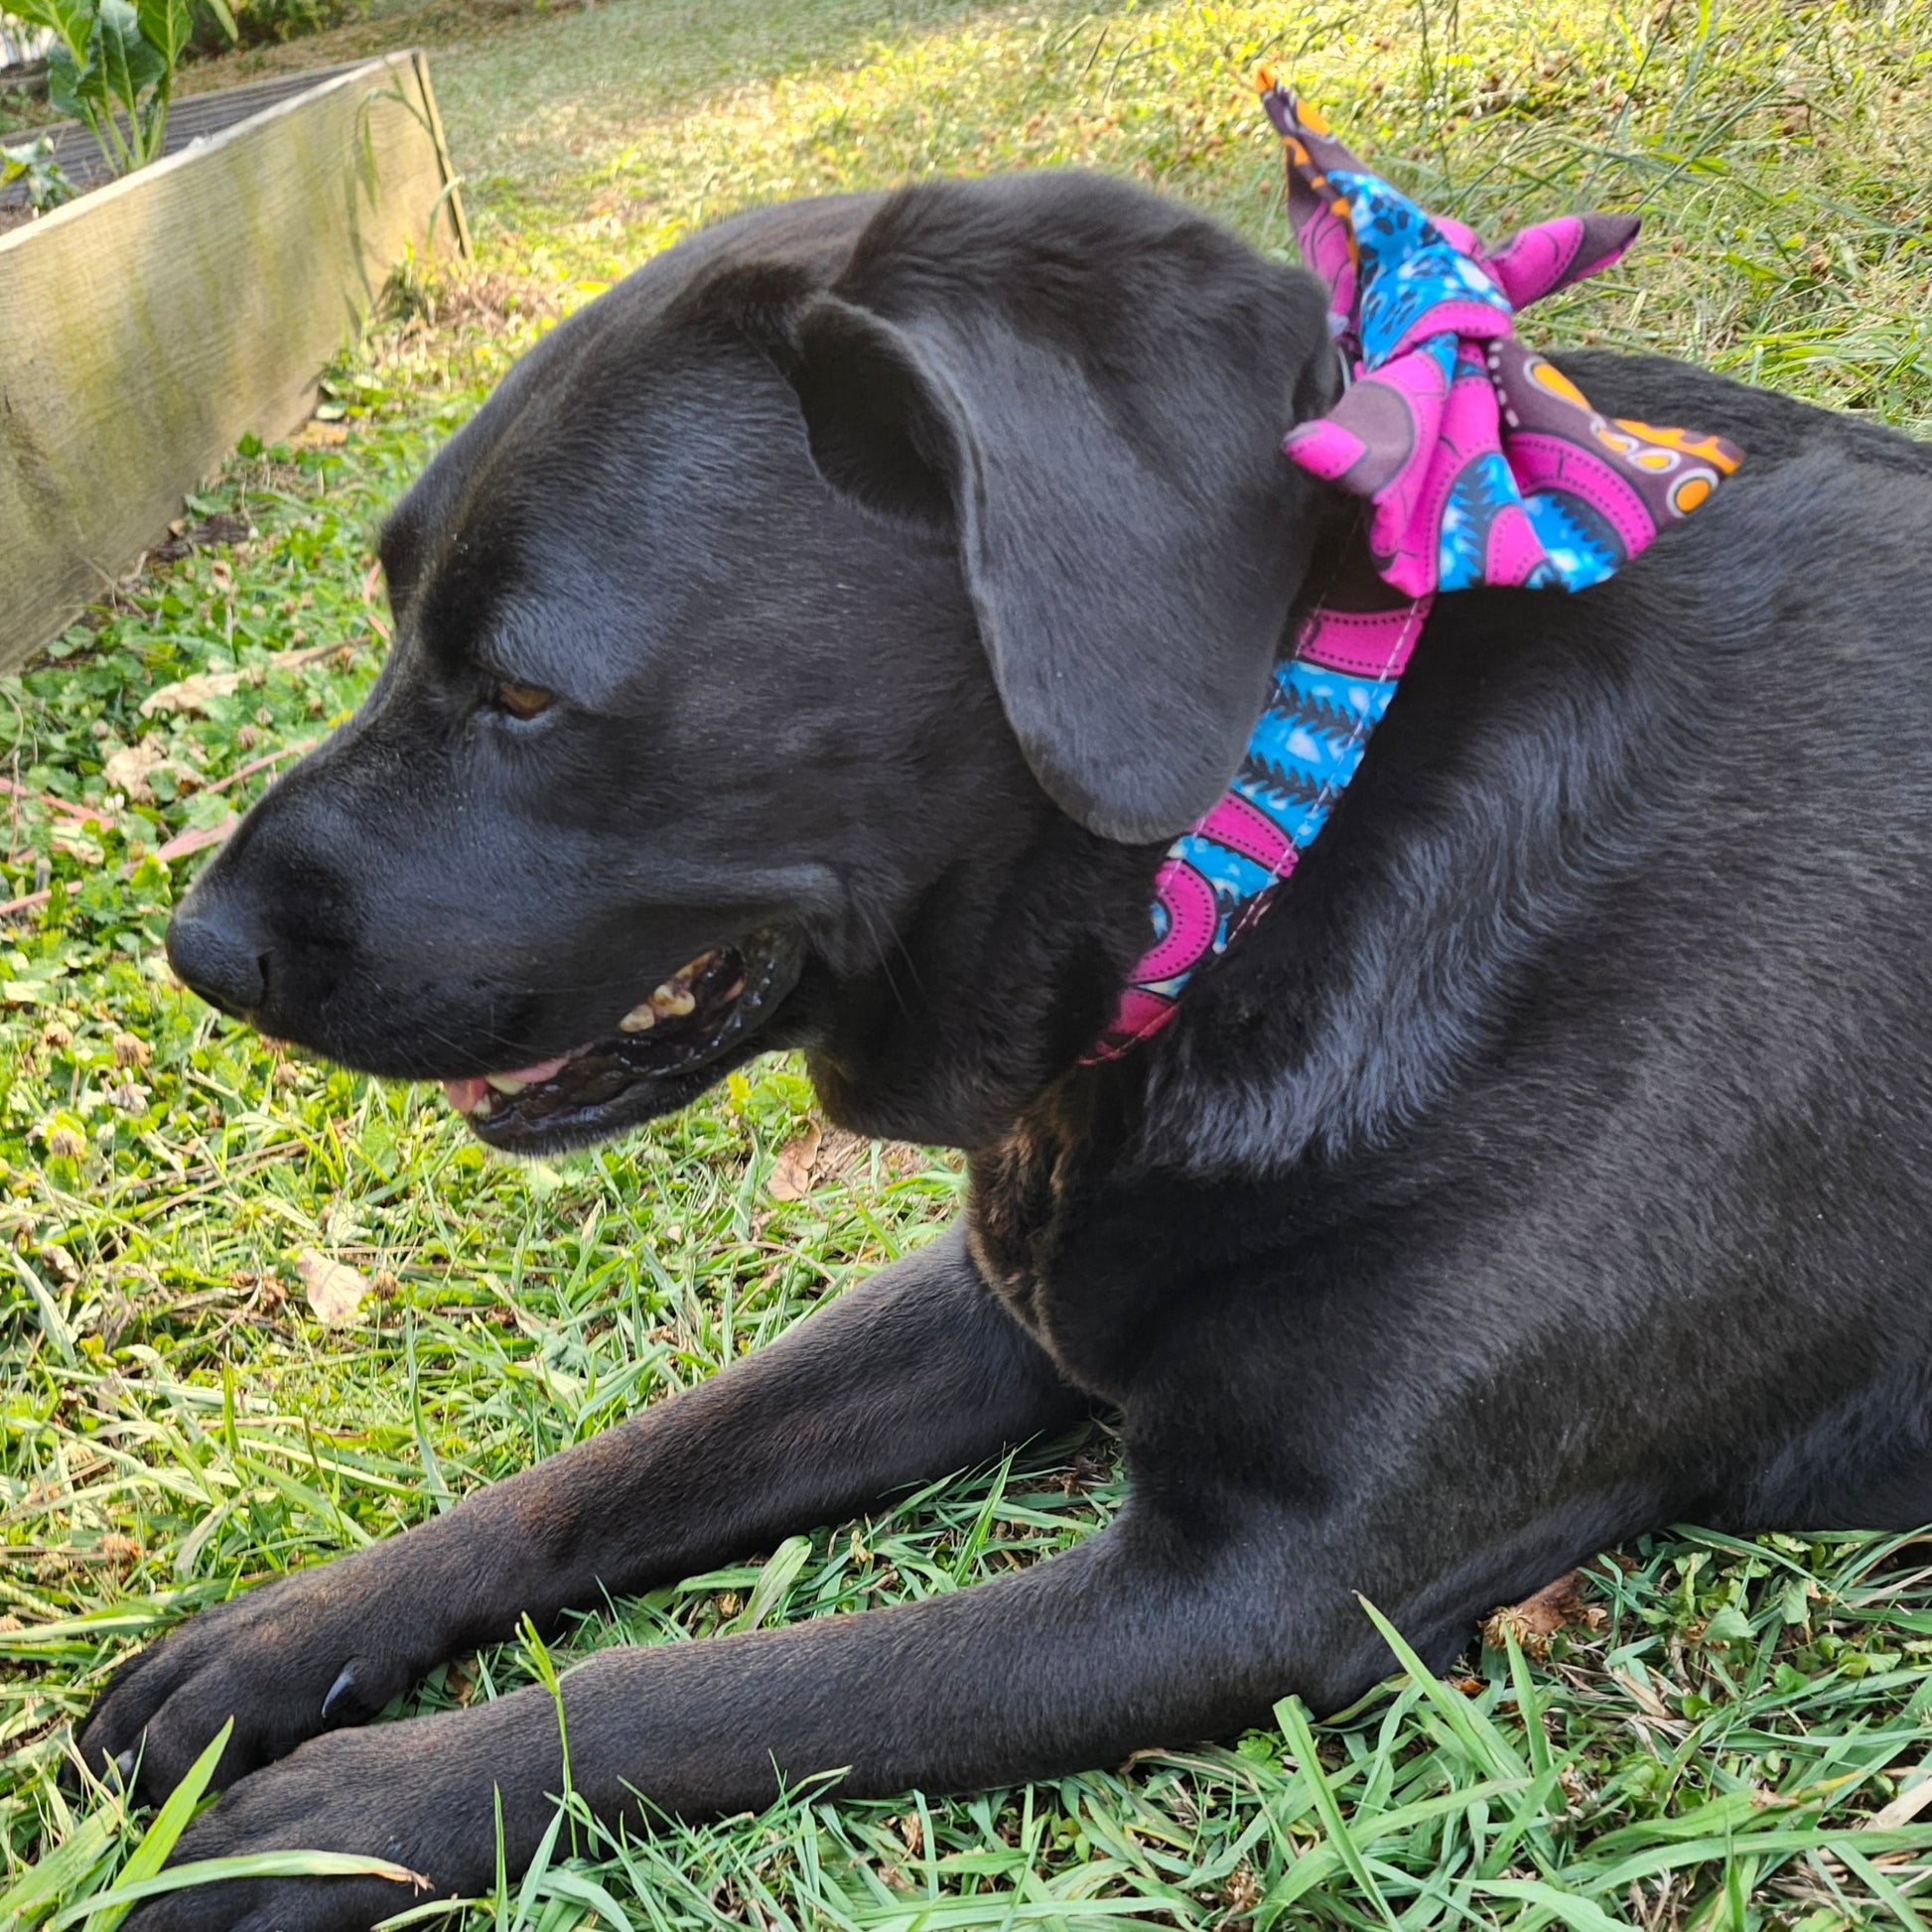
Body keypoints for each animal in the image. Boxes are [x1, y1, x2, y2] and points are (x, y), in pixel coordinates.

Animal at [82, 170, 1932, 1932]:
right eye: (394, 615)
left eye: (524, 695)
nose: (201, 952)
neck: (1284, 828)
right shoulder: (1003, 1295)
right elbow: (613, 1467)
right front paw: (281, 1634)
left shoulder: (1256, 1582)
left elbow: (694, 1686)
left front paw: (344, 1813)